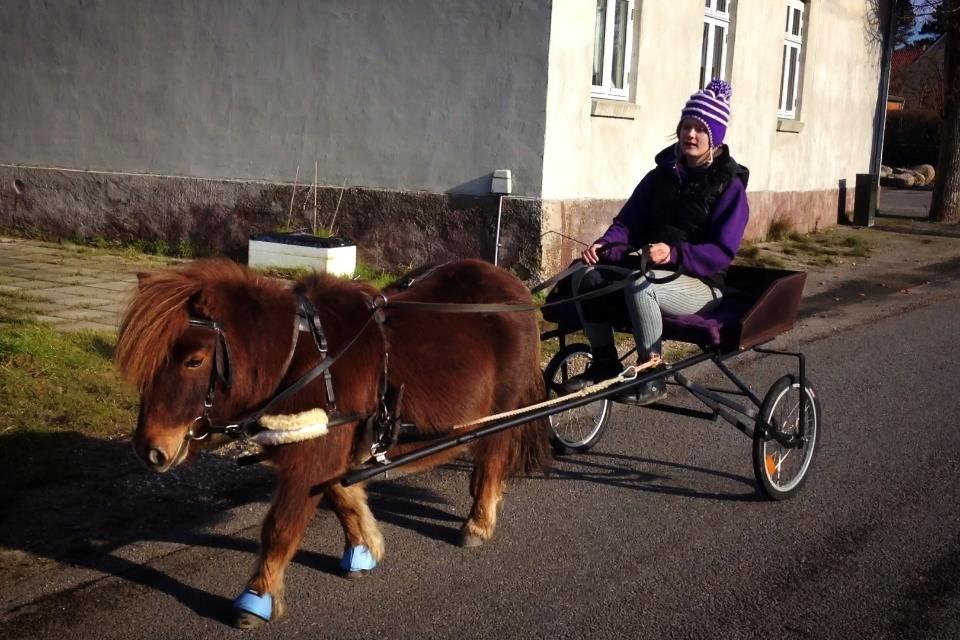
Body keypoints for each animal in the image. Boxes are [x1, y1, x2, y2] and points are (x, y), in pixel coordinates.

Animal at [113, 258, 552, 628]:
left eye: (194, 360)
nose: (150, 449)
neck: (301, 358)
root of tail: (516, 288)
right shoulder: (328, 446)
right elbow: (343, 496)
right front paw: (364, 548)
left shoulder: (311, 457)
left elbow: (281, 526)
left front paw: (257, 598)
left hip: (505, 408)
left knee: (491, 460)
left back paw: (478, 522)